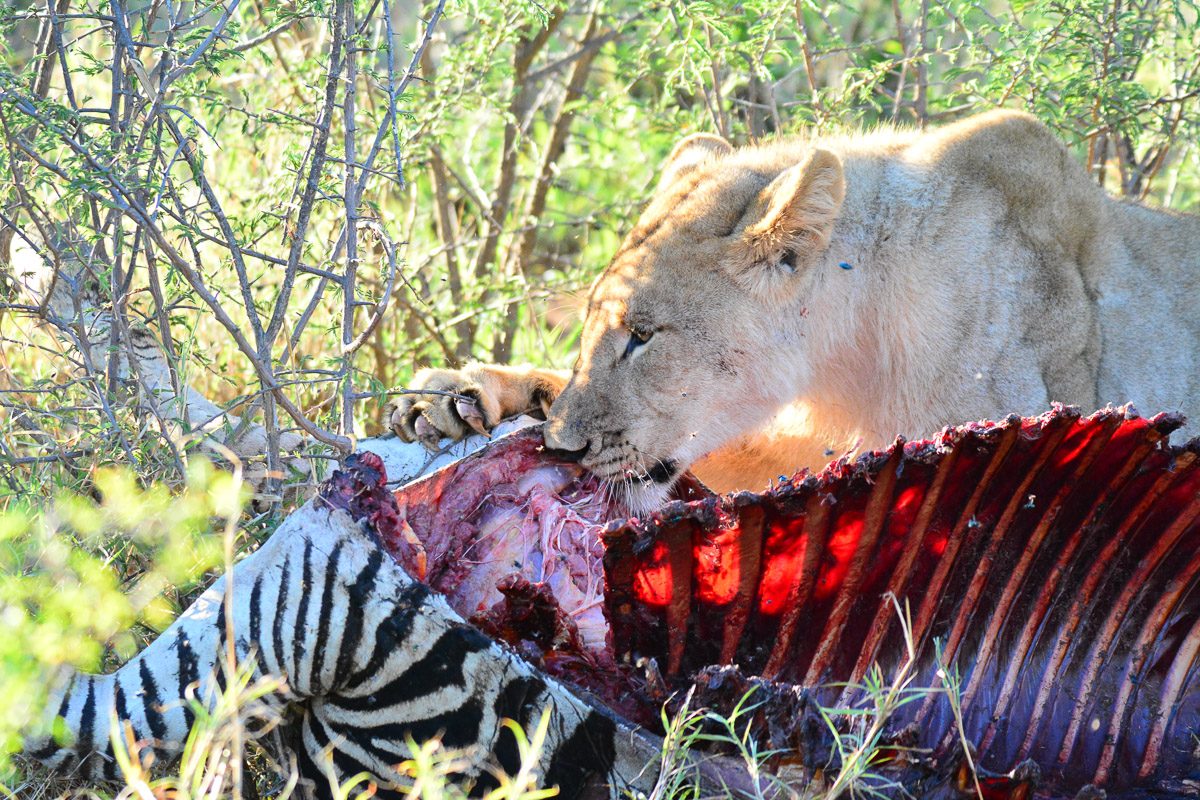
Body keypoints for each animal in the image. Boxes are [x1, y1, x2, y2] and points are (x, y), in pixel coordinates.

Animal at [387, 110, 1200, 512]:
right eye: (590, 330)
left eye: (643, 337)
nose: (560, 450)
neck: (846, 364)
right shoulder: (789, 435)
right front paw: (456, 395)